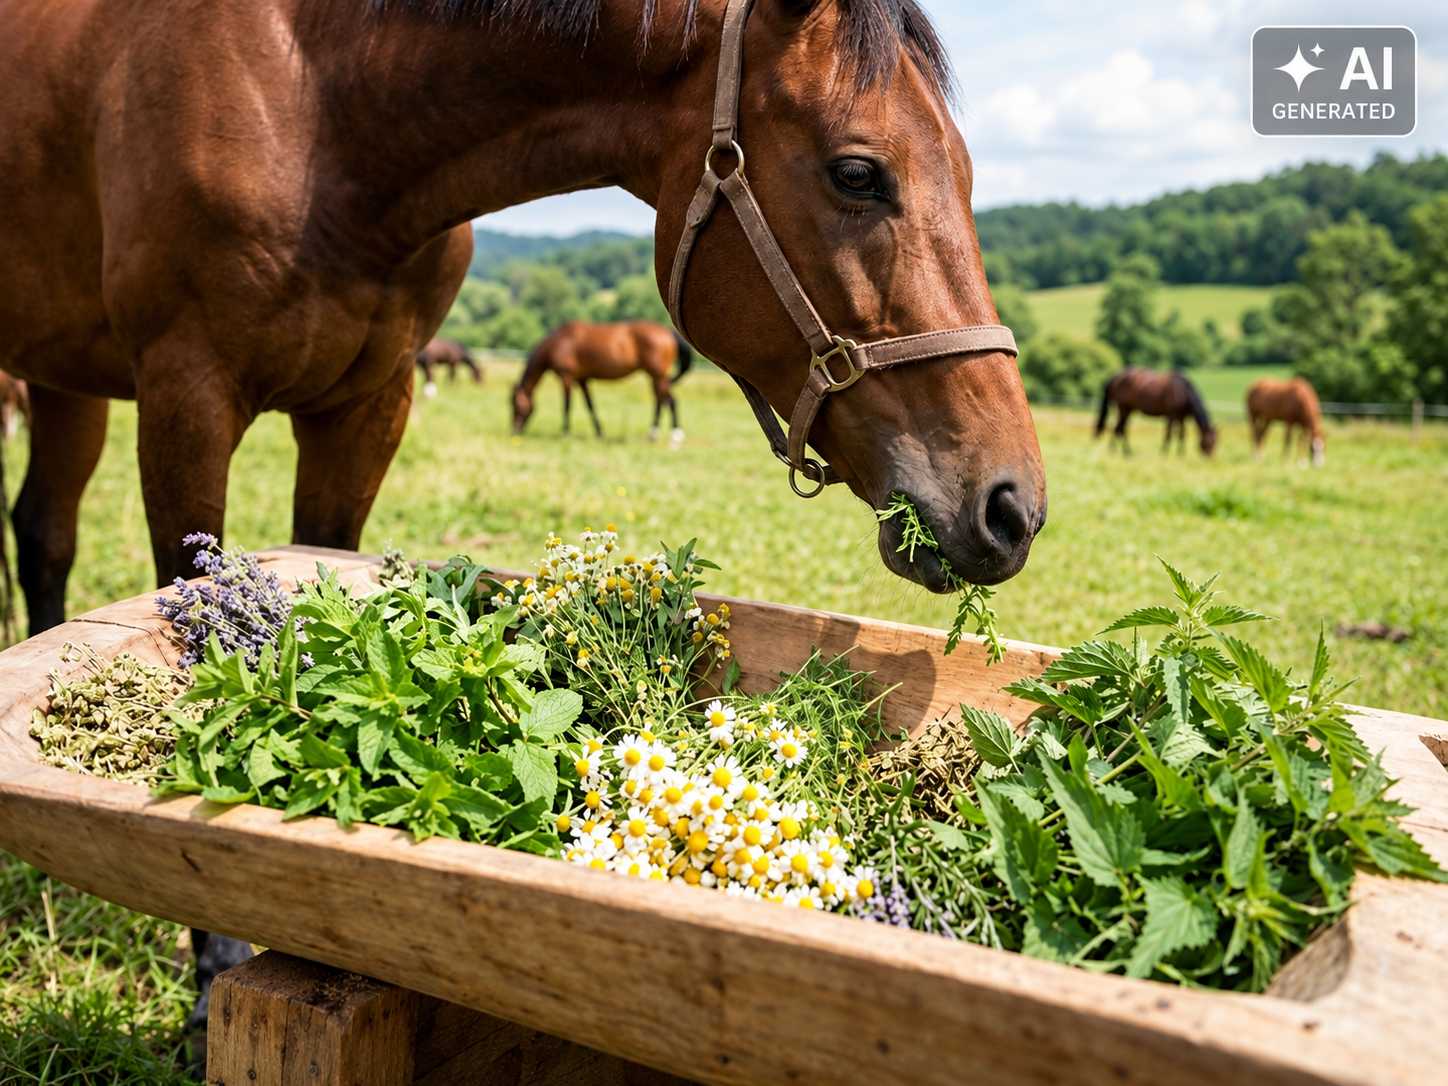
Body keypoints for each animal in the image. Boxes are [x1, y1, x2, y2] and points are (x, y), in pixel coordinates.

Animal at [512, 320, 692, 441]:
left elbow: (567, 405)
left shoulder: (567, 377)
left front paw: (566, 432)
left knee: (670, 400)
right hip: (655, 377)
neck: (558, 342)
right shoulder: (582, 379)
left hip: (658, 375)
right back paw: (655, 433)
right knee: (661, 400)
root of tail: (668, 332)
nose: (514, 430)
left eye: (516, 405)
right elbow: (590, 405)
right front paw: (599, 432)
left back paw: (672, 434)